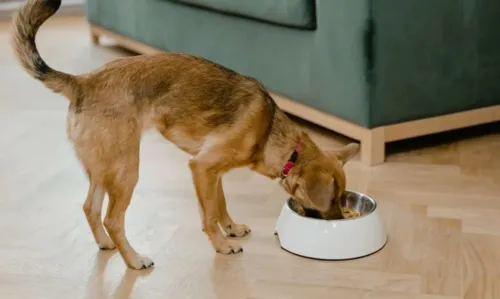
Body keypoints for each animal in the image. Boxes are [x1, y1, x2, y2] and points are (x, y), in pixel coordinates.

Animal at [10, 0, 360, 270]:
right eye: (333, 199)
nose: (338, 220)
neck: (272, 132)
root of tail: (82, 82)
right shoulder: (202, 167)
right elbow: (209, 215)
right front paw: (222, 245)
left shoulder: (211, 171)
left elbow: (220, 204)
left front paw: (231, 228)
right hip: (126, 169)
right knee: (113, 219)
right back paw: (134, 260)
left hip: (103, 168)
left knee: (90, 208)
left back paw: (105, 244)